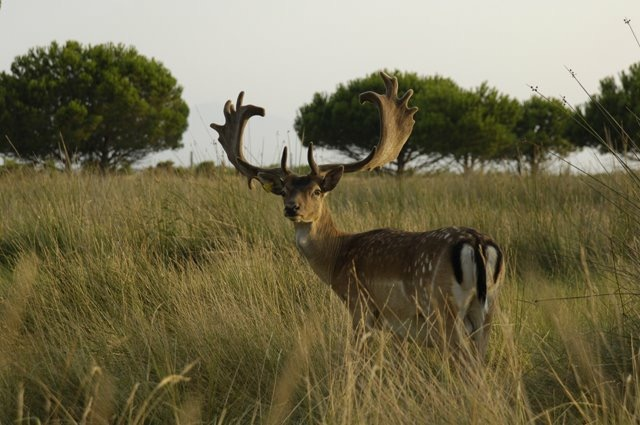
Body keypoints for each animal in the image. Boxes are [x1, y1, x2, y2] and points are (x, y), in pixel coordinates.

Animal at [211, 72, 504, 358]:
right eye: (284, 191)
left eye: (317, 191)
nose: (292, 208)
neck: (337, 255)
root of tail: (478, 244)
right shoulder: (396, 327)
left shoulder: (359, 303)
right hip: (486, 311)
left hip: (443, 309)